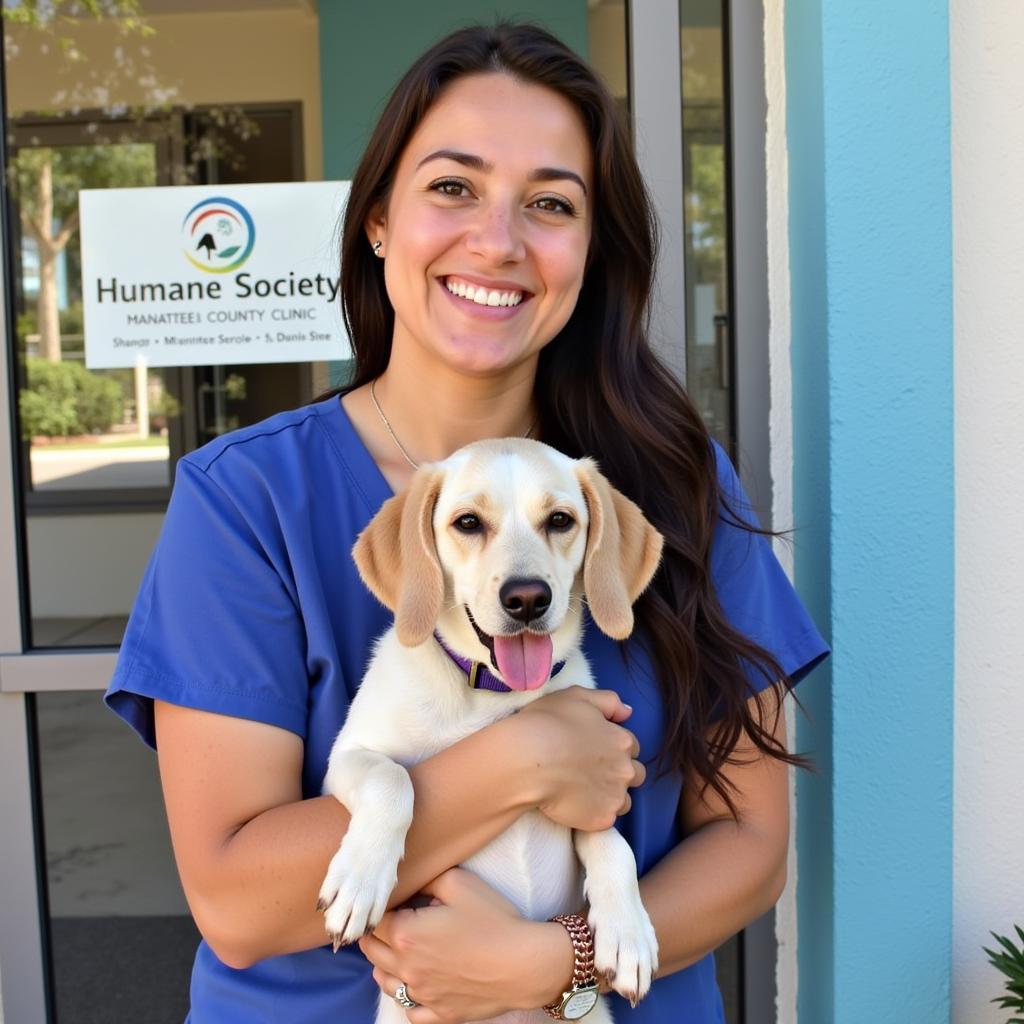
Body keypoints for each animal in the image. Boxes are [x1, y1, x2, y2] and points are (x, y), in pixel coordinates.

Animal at [319, 436, 663, 1019]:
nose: (527, 599)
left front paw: (628, 930)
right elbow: (392, 781)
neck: (494, 694)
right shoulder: (347, 756)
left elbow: (611, 841)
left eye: (560, 519)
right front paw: (359, 880)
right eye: (468, 523)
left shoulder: (595, 791)